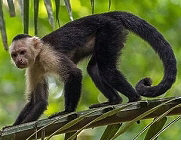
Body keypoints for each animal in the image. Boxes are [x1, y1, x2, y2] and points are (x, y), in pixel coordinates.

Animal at [8, 11, 177, 125]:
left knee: (107, 70)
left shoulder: (48, 54)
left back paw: (134, 98)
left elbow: (74, 73)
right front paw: (13, 126)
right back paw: (113, 101)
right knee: (94, 69)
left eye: (22, 52)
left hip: (109, 30)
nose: (19, 60)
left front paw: (68, 111)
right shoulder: (33, 67)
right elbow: (39, 101)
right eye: (14, 55)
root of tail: (107, 15)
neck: (38, 55)